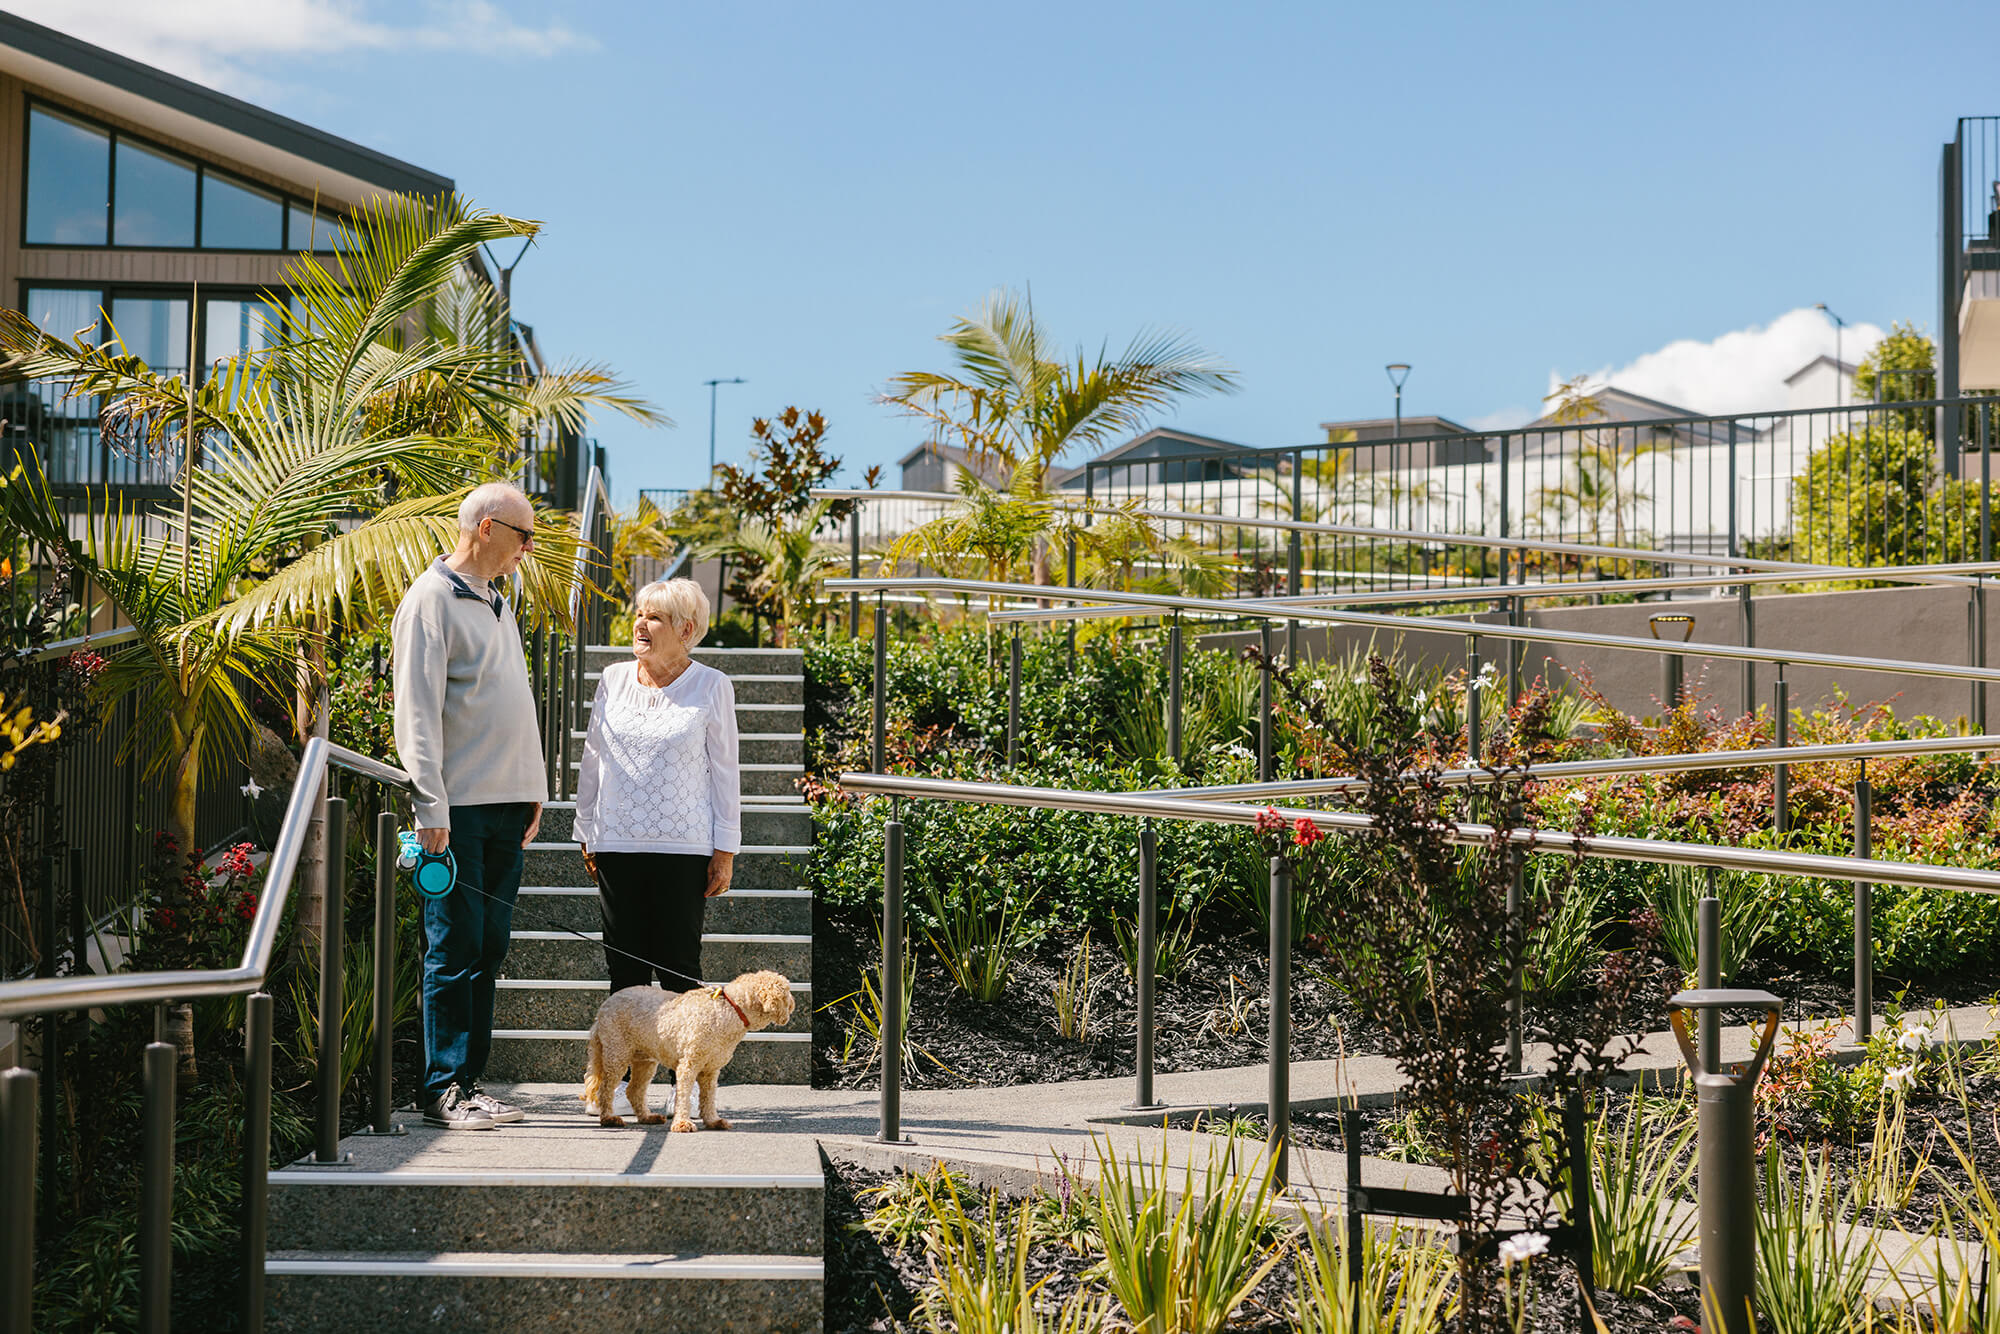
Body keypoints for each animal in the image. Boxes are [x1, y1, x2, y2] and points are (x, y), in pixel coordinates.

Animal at [584, 972, 792, 1128]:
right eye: (787, 992)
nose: (793, 1004)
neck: (729, 1009)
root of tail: (603, 1008)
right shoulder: (689, 1064)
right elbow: (683, 1094)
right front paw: (682, 1123)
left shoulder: (710, 1070)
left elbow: (708, 1097)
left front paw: (713, 1121)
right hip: (616, 1052)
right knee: (606, 1088)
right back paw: (609, 1118)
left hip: (644, 1059)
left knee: (634, 1090)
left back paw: (647, 1117)